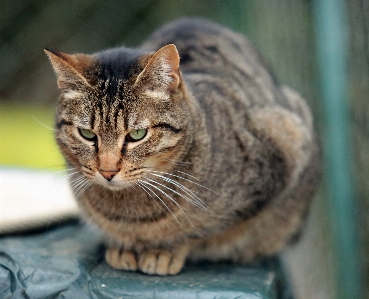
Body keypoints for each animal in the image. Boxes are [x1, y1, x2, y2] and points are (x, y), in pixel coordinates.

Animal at [43, 18, 320, 276]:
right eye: (87, 134)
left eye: (137, 134)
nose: (107, 172)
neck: (130, 213)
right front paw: (122, 246)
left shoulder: (282, 146)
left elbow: (200, 231)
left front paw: (163, 251)